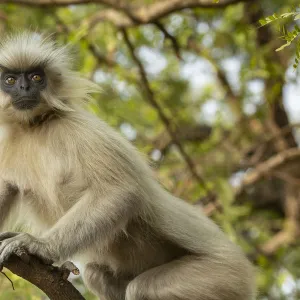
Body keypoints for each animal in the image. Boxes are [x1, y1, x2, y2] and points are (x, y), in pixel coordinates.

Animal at [0, 31, 255, 298]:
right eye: (10, 79)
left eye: (36, 77)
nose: (24, 87)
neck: (33, 126)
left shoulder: (76, 127)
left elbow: (122, 191)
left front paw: (38, 246)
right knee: (96, 274)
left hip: (222, 276)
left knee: (140, 288)